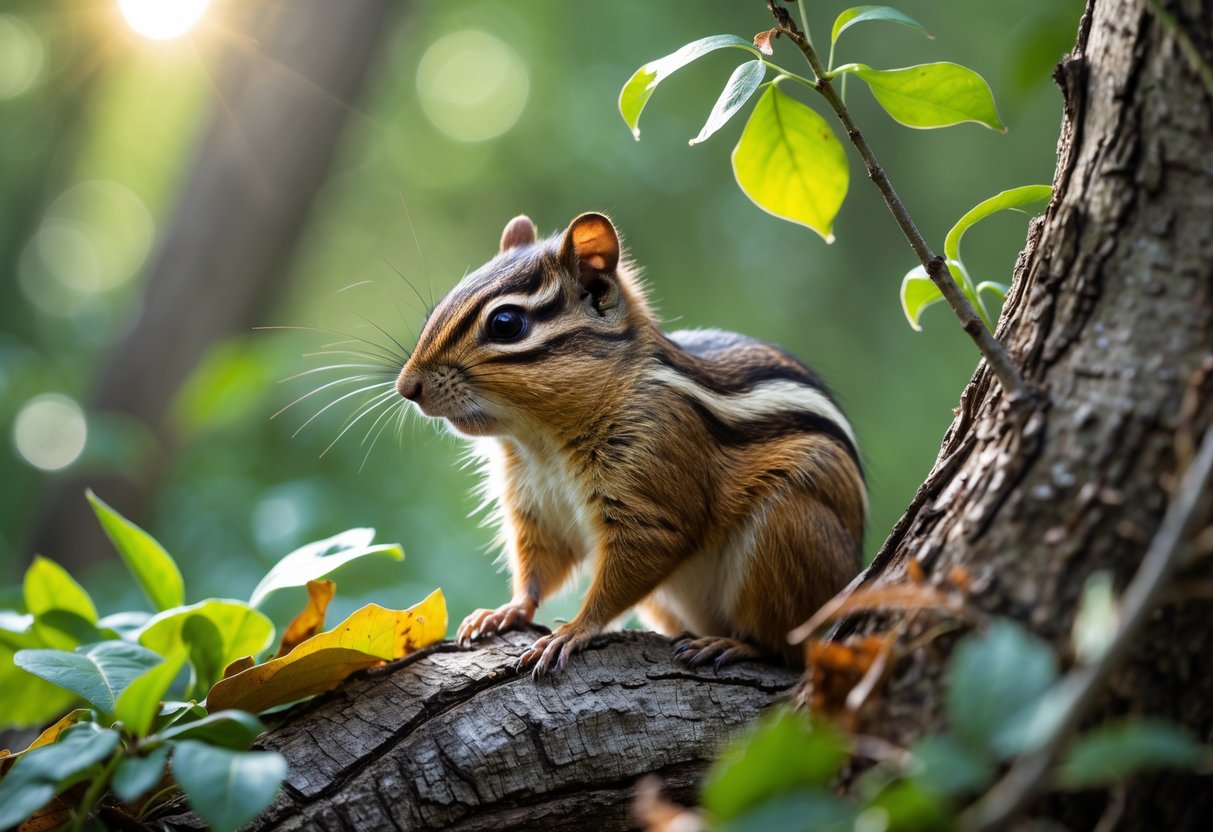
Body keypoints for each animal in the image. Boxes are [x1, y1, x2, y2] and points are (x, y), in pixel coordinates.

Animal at [395, 212, 865, 677]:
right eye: (437, 309)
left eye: (506, 324)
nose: (407, 387)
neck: (541, 441)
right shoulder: (535, 509)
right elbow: (538, 567)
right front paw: (506, 611)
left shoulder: (651, 494)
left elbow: (631, 566)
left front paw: (574, 630)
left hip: (787, 531)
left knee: (788, 647)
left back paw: (732, 644)